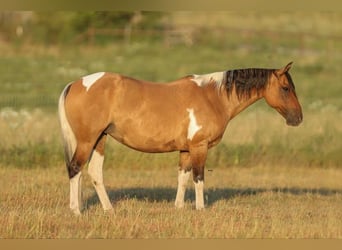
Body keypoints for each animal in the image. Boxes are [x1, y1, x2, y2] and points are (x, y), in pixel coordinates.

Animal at [58, 61, 302, 214]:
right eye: (285, 88)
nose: (298, 118)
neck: (213, 97)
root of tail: (75, 84)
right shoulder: (199, 146)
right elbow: (198, 177)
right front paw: (200, 209)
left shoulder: (185, 149)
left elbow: (183, 177)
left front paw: (179, 208)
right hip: (88, 140)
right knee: (75, 168)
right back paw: (76, 210)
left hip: (100, 139)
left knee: (94, 172)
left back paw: (108, 209)